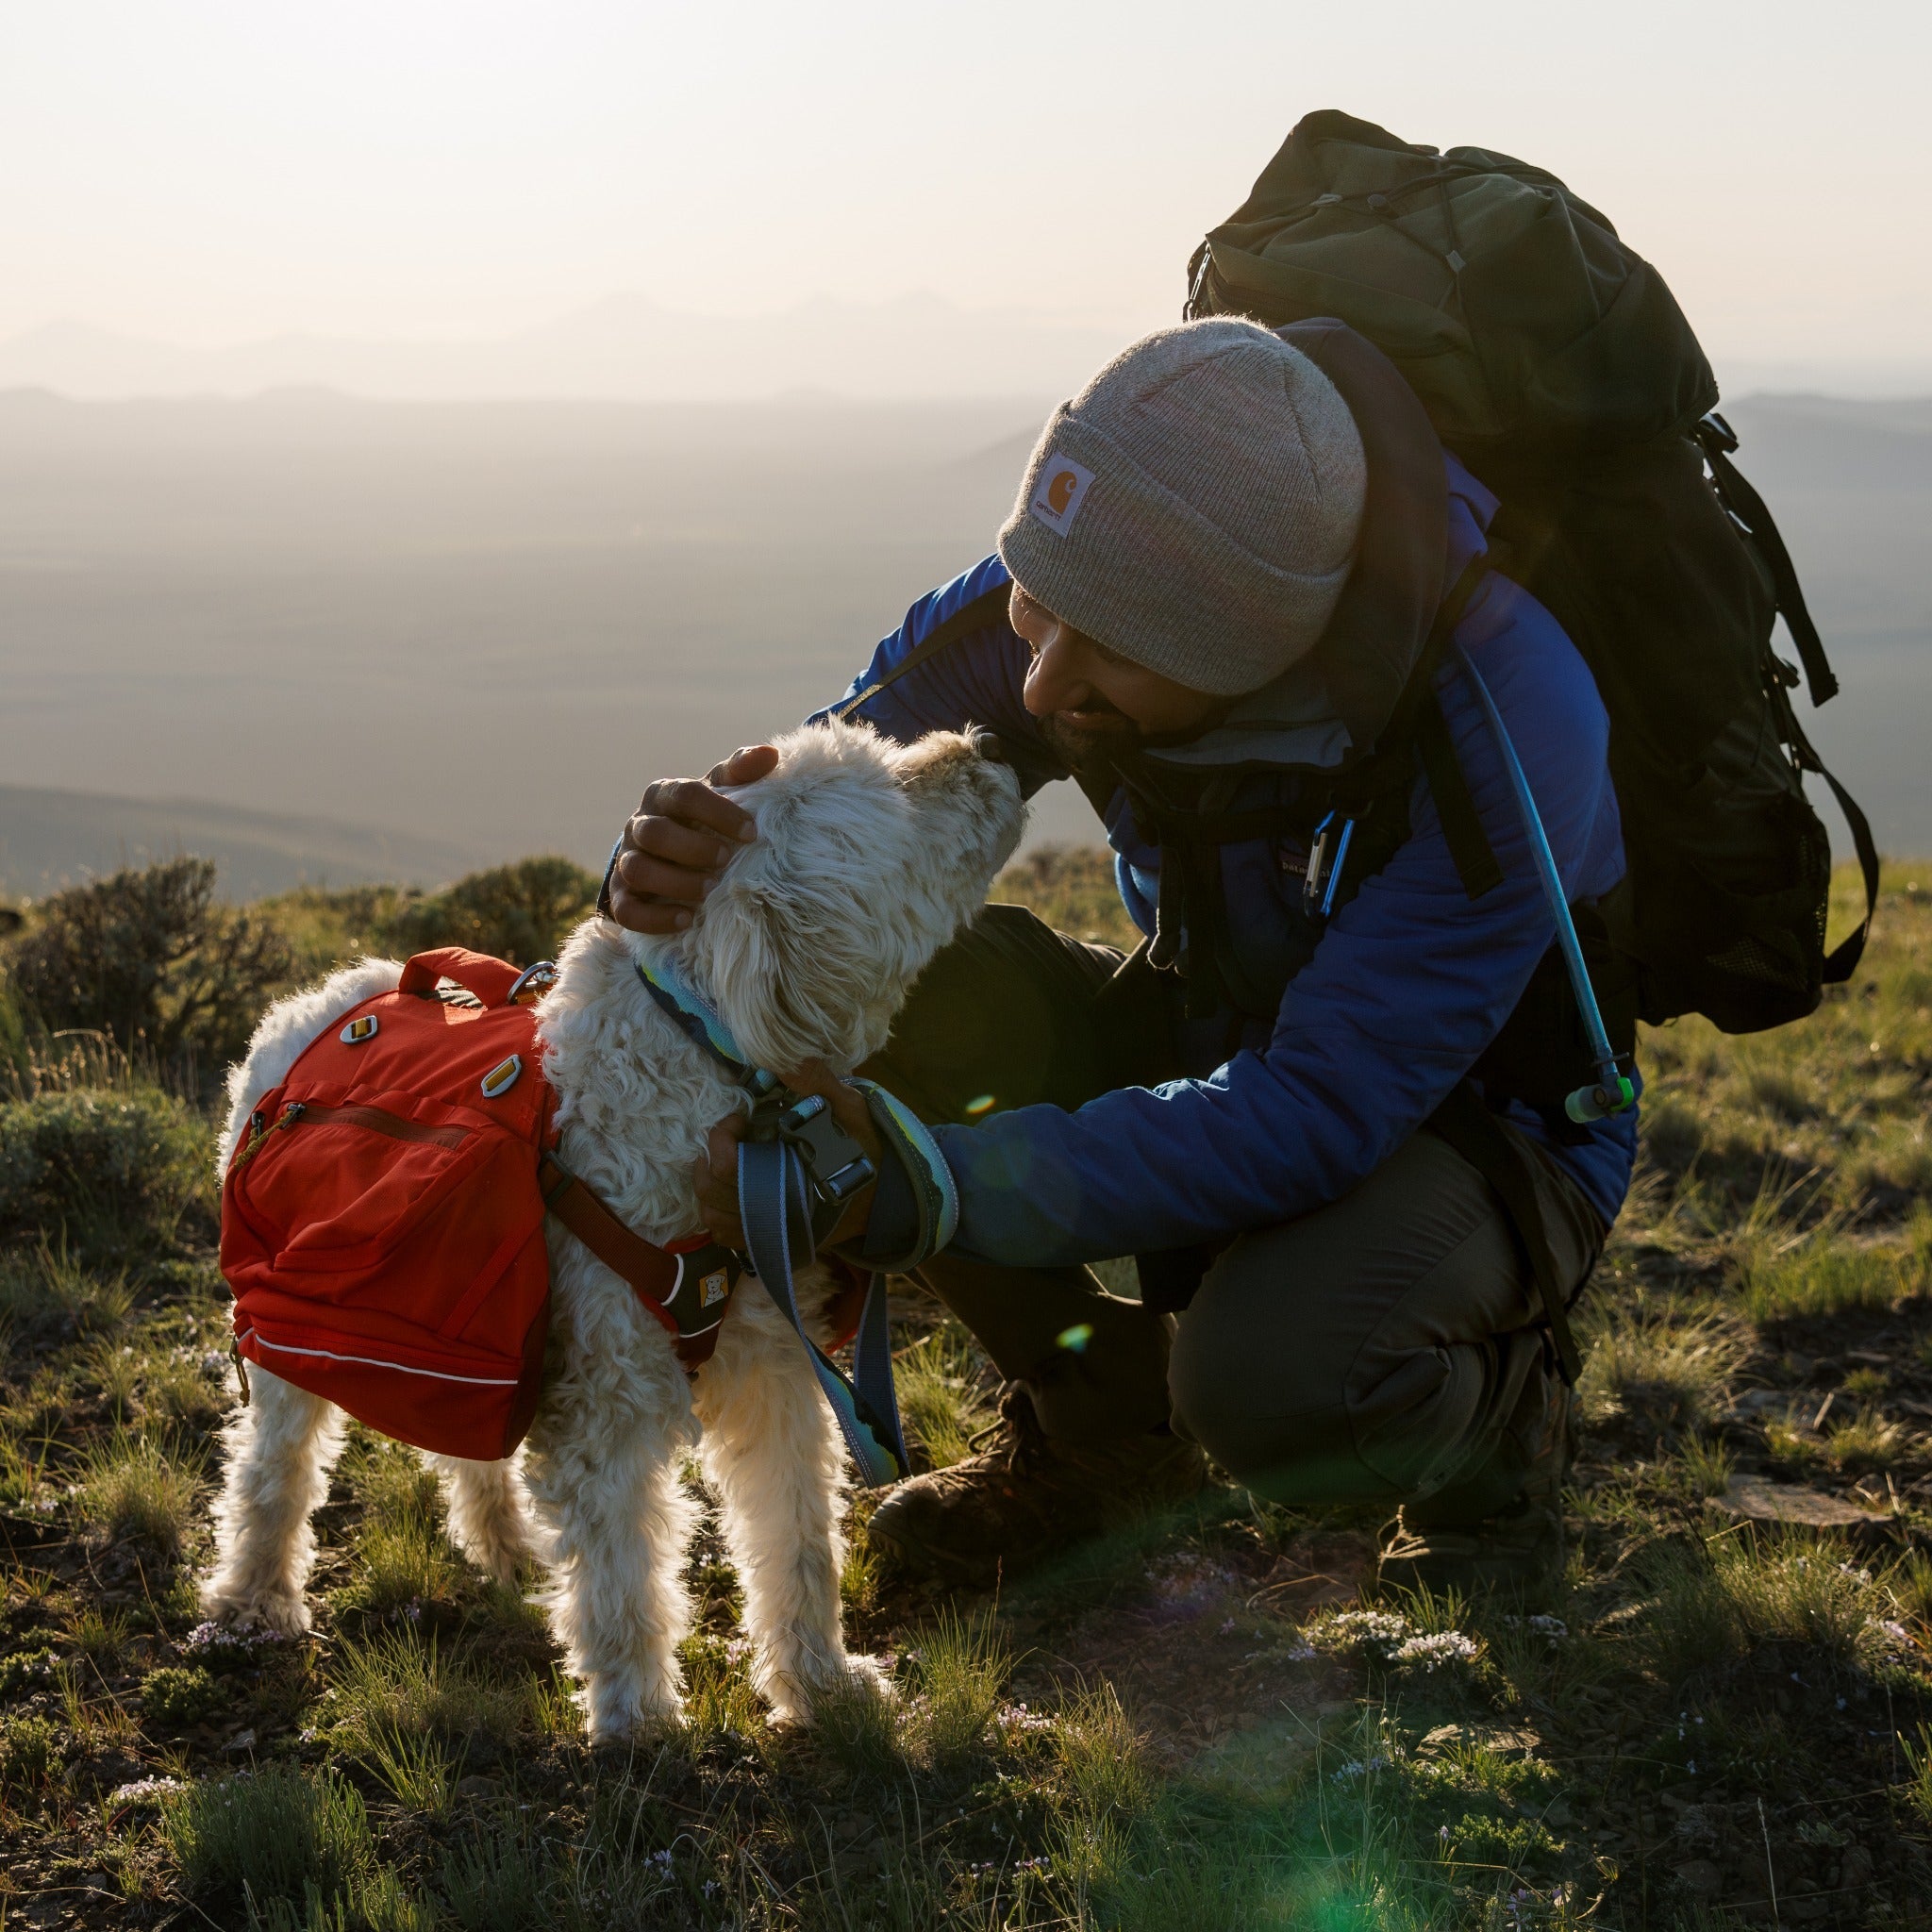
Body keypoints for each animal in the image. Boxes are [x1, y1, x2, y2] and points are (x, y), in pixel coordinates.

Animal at [199, 722, 1027, 1739]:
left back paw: (505, 1544)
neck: (701, 1074)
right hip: (286, 1335)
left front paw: (821, 1681)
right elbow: (624, 1575)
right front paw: (638, 1716)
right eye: (886, 792)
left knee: (467, 1453)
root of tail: (316, 998)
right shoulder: (608, 1399)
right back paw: (253, 1597)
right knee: (271, 1469)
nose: (984, 740)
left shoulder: (773, 1370)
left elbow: (797, 1538)